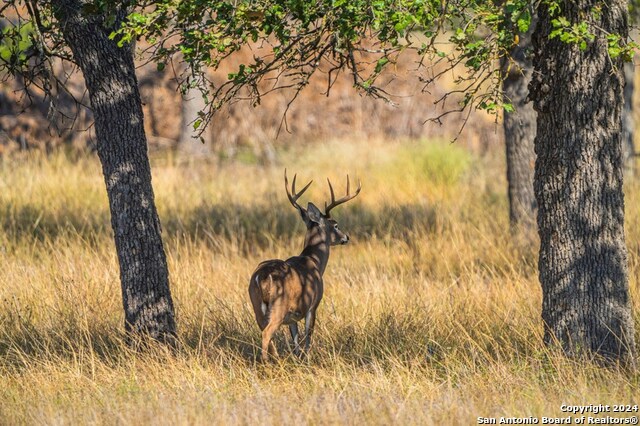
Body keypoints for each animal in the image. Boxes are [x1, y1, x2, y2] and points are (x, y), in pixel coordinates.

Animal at [249, 168, 360, 362]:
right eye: (336, 225)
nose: (346, 237)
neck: (314, 261)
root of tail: (261, 276)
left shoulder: (293, 316)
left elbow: (295, 340)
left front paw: (298, 358)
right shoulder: (313, 304)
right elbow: (308, 335)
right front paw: (308, 357)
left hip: (257, 305)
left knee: (264, 331)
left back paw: (275, 359)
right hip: (278, 305)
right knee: (267, 333)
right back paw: (267, 363)